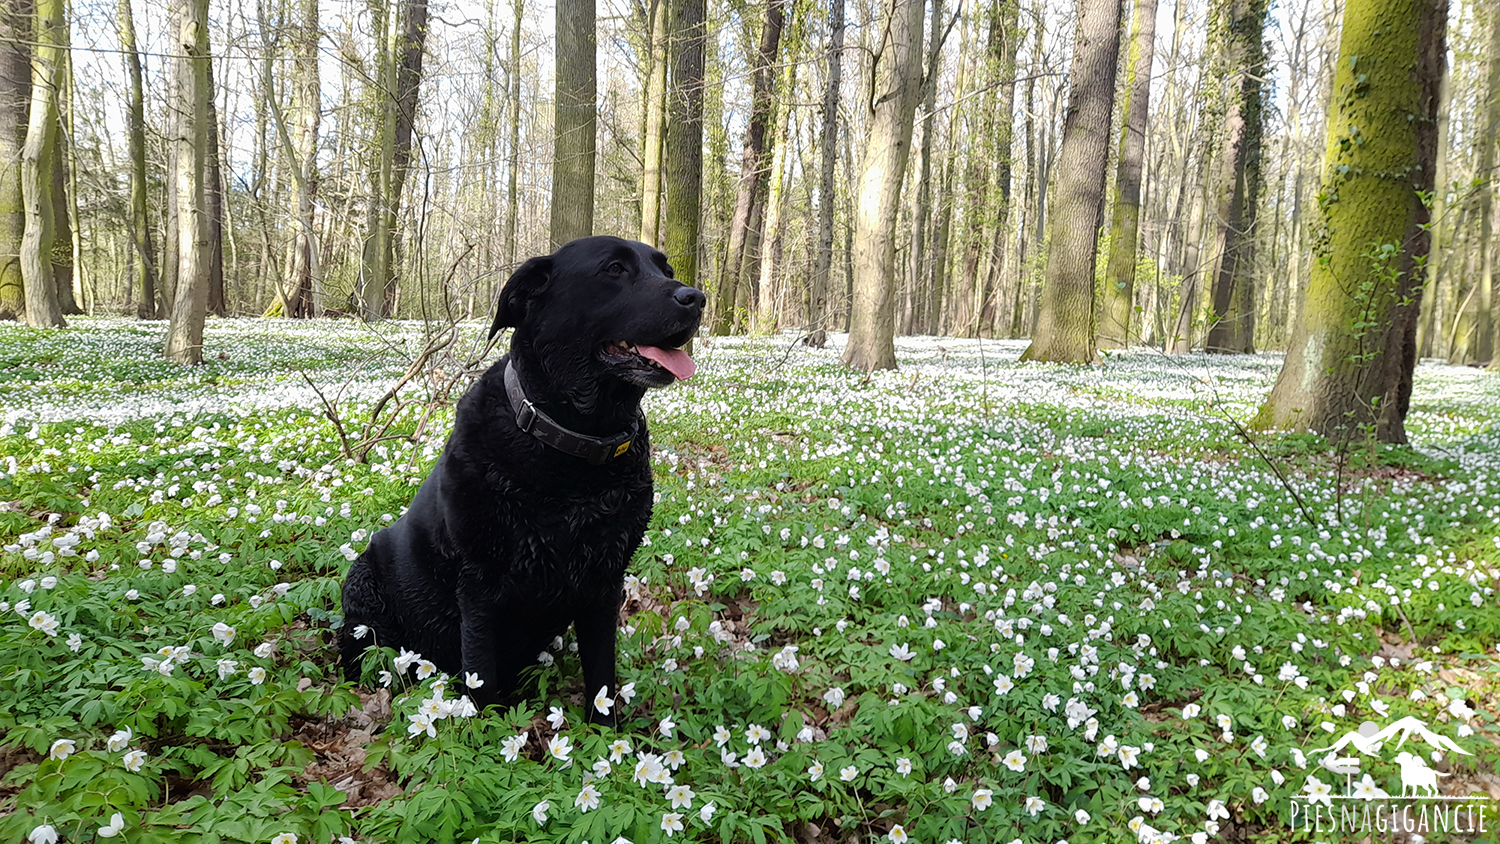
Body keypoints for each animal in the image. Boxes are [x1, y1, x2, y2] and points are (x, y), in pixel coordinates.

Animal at [343, 233, 705, 722]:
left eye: (666, 271)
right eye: (613, 269)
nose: (696, 298)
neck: (574, 454)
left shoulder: (604, 582)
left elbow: (602, 675)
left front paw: (605, 732)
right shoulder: (479, 586)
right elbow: (481, 679)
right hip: (363, 589)